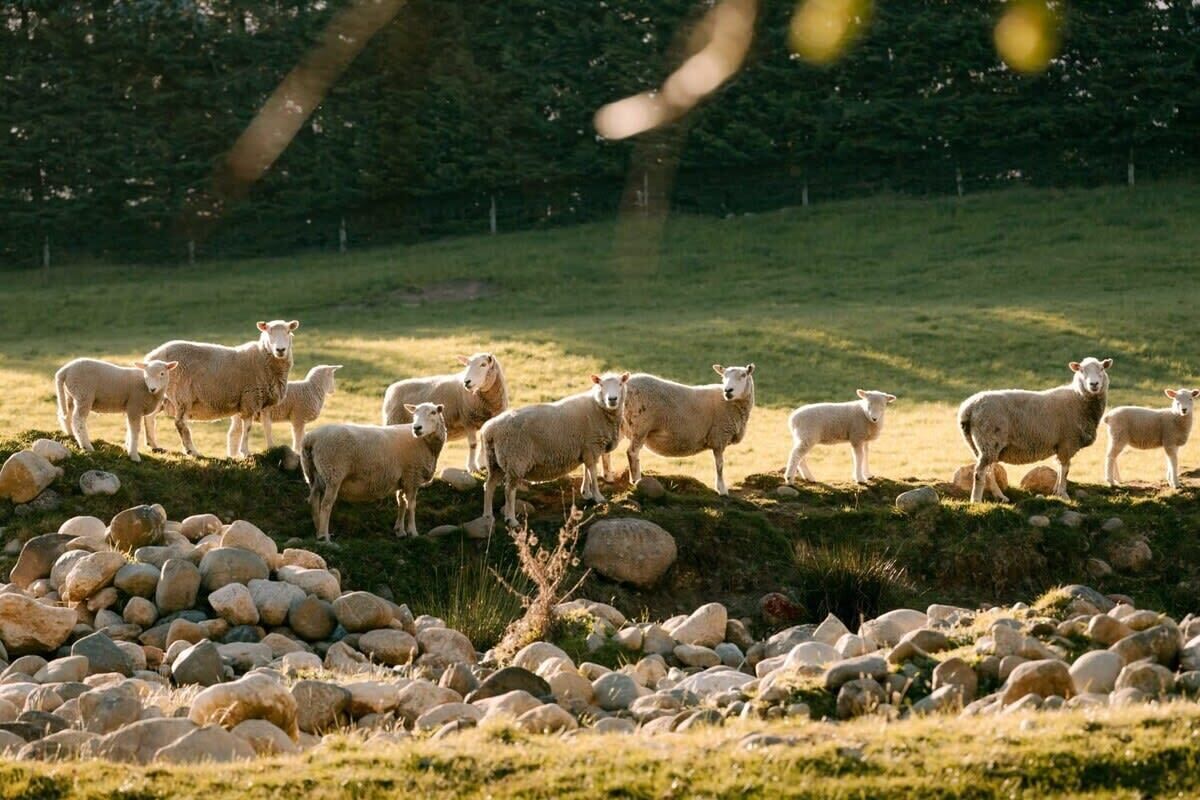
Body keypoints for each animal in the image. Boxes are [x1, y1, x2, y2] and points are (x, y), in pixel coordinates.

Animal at [144, 320, 299, 458]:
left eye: (288, 331)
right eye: (268, 331)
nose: (280, 350)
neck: (262, 357)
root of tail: (150, 357)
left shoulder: (264, 400)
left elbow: (267, 426)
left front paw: (272, 448)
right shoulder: (250, 398)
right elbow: (247, 428)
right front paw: (245, 452)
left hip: (160, 394)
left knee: (150, 417)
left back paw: (154, 445)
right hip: (182, 394)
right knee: (180, 423)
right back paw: (192, 451)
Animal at [300, 402, 447, 540]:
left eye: (433, 412)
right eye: (414, 413)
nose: (416, 428)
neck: (426, 444)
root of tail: (310, 438)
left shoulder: (404, 477)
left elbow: (402, 503)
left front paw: (400, 531)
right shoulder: (412, 476)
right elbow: (411, 505)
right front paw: (413, 532)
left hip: (314, 473)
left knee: (313, 500)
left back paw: (318, 530)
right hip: (333, 473)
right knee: (326, 505)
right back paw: (324, 537)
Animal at [481, 373, 628, 529]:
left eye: (620, 384)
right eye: (601, 385)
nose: (612, 399)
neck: (598, 407)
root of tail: (489, 430)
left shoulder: (586, 447)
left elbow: (586, 470)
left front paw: (586, 492)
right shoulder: (592, 446)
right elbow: (593, 473)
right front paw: (598, 497)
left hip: (494, 460)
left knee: (489, 485)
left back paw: (487, 516)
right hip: (516, 458)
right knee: (509, 490)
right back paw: (511, 520)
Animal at [601, 364, 755, 496]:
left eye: (743, 375)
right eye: (723, 377)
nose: (728, 390)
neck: (731, 404)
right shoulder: (719, 436)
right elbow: (720, 466)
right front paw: (722, 490)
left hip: (620, 425)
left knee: (607, 450)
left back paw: (608, 477)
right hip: (641, 425)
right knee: (632, 452)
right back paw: (636, 480)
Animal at [958, 357, 1112, 503]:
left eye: (1101, 369)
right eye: (1081, 370)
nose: (1094, 384)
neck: (1079, 398)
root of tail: (968, 407)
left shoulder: (1061, 444)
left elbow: (1059, 469)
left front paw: (1056, 492)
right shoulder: (1067, 442)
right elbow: (1065, 469)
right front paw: (1063, 494)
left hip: (982, 444)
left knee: (989, 472)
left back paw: (1000, 497)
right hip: (989, 439)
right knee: (979, 473)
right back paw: (976, 500)